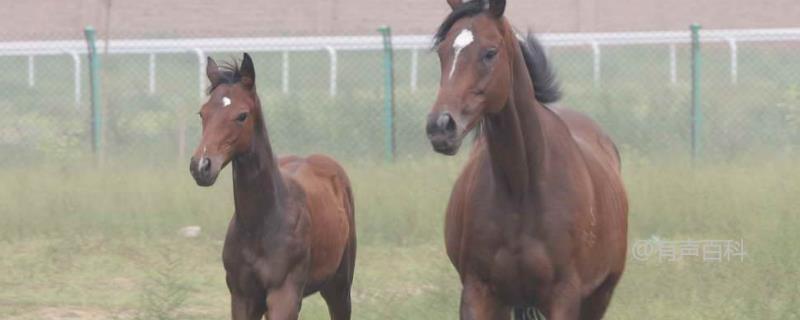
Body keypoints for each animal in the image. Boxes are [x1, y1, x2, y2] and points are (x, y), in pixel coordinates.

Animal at [189, 53, 354, 318]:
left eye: (242, 115)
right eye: (202, 113)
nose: (201, 166)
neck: (261, 222)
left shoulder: (284, 296)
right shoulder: (243, 297)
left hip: (339, 287)